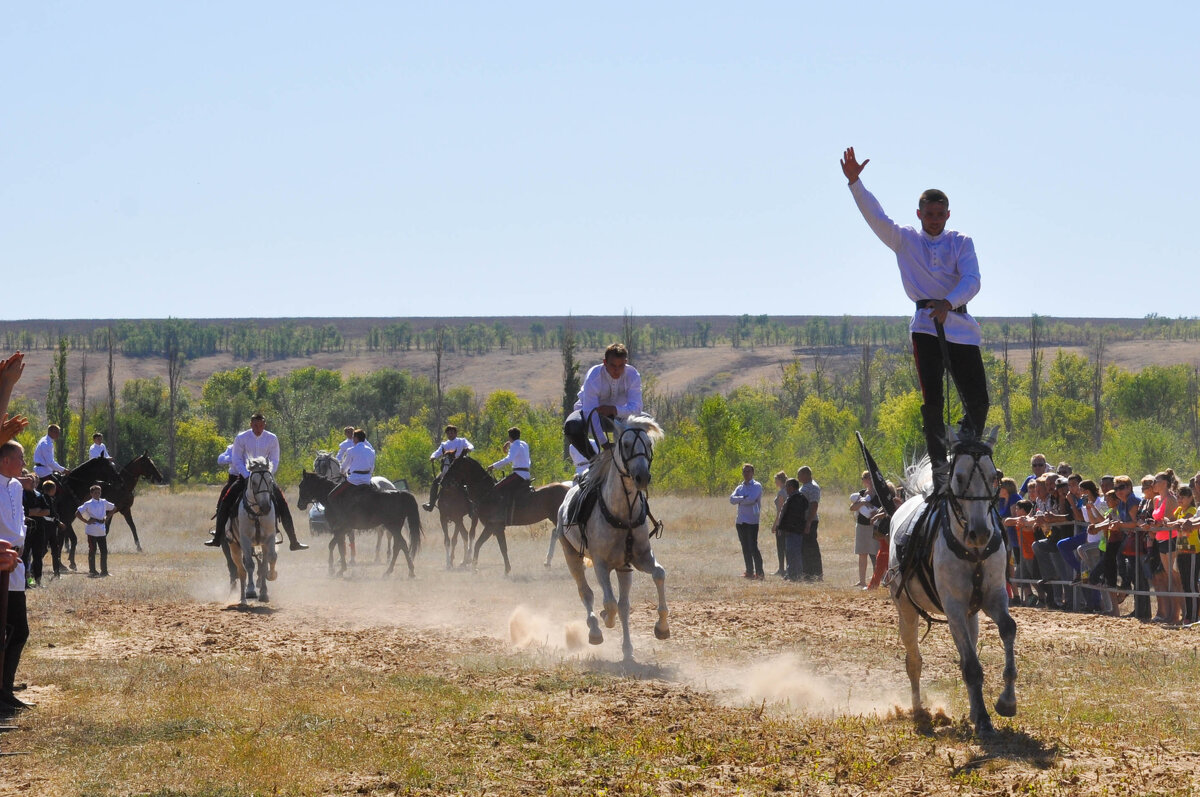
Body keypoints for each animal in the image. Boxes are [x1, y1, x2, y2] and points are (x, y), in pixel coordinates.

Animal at [226, 453, 278, 604]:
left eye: (270, 481)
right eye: (253, 482)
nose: (266, 507)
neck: (256, 514)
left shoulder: (269, 538)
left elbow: (270, 560)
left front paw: (270, 579)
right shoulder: (245, 540)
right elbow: (249, 565)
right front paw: (251, 591)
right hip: (235, 548)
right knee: (241, 570)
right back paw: (243, 597)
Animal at [556, 412, 672, 662]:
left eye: (648, 444)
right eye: (626, 444)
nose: (642, 477)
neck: (623, 511)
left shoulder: (640, 558)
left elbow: (659, 574)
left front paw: (662, 627)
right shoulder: (601, 564)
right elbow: (608, 603)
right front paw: (605, 619)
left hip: (623, 568)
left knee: (624, 605)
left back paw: (627, 650)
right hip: (571, 554)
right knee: (586, 592)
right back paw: (595, 630)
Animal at [888, 427, 1017, 739]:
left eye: (994, 475)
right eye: (958, 477)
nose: (980, 533)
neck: (972, 550)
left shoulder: (993, 598)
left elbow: (1007, 628)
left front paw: (1006, 701)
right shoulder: (954, 607)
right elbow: (971, 666)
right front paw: (983, 720)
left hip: (971, 615)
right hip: (906, 610)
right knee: (914, 661)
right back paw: (919, 710)